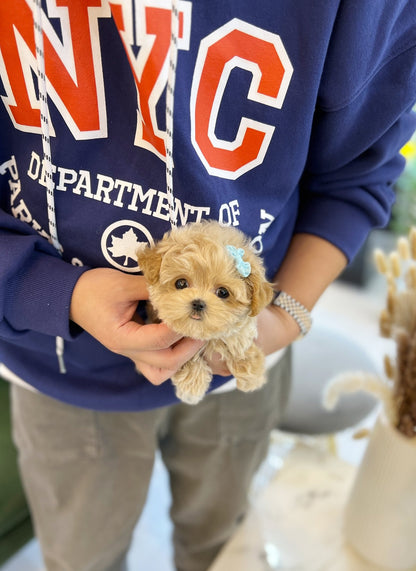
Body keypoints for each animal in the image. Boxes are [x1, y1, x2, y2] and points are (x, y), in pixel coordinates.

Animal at [136, 221, 272, 404]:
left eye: (223, 292)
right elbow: (189, 360)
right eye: (181, 283)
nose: (198, 303)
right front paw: (192, 388)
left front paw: (252, 375)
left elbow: (239, 339)